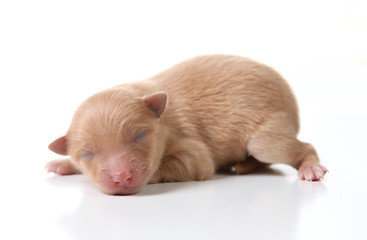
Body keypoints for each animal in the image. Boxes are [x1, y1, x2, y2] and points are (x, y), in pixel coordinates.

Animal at [45, 54, 328, 195]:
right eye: (87, 154)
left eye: (139, 136)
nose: (121, 177)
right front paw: (63, 164)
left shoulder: (191, 147)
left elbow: (194, 163)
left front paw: (153, 176)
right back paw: (243, 166)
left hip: (265, 134)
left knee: (297, 148)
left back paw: (310, 168)